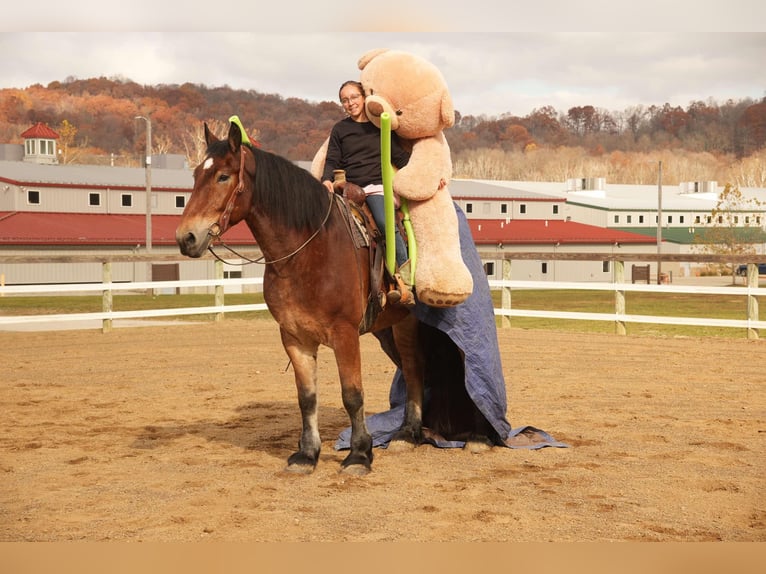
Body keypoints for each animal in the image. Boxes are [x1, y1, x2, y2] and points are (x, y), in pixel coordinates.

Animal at [175, 122, 426, 476]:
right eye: (197, 174)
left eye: (223, 176)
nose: (186, 237)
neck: (308, 250)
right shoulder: (294, 336)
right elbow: (307, 396)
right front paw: (307, 453)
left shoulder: (345, 334)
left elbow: (352, 394)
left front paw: (359, 454)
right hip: (386, 329)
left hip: (407, 323)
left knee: (415, 368)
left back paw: (408, 433)